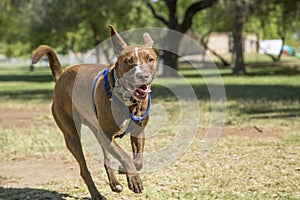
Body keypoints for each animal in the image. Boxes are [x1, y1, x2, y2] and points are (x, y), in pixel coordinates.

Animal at [31, 25, 157, 199]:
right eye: (128, 61)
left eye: (150, 59)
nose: (142, 75)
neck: (128, 100)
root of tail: (62, 75)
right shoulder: (106, 135)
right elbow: (124, 156)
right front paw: (133, 179)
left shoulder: (137, 131)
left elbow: (137, 160)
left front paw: (125, 171)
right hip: (71, 135)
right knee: (84, 168)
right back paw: (96, 193)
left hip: (95, 129)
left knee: (107, 159)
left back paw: (115, 183)